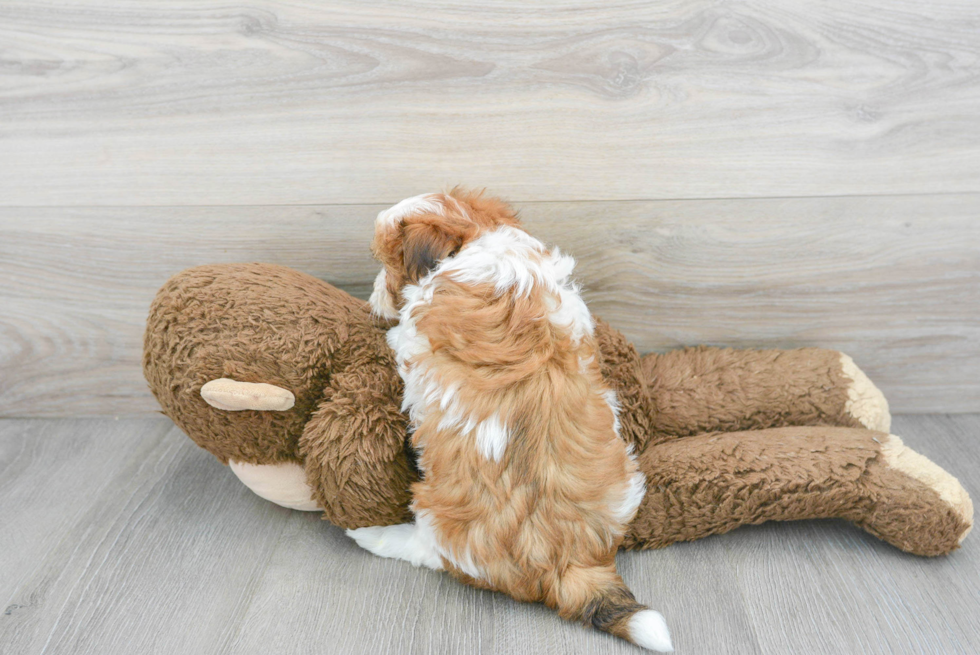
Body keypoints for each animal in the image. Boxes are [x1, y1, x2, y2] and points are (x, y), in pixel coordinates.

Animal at [346, 188, 672, 652]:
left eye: (386, 264)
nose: (372, 294)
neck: (474, 238)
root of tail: (571, 558)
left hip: (438, 518)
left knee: (429, 552)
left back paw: (375, 535)